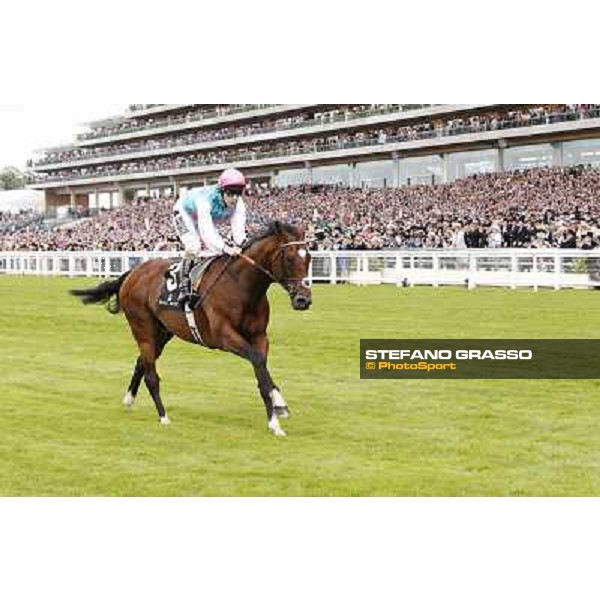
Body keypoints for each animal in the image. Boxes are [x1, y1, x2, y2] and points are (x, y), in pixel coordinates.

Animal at [72, 220, 312, 436]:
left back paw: (129, 399)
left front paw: (279, 405)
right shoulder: (225, 336)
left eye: (309, 257)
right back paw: (163, 416)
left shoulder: (260, 336)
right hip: (143, 328)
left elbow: (262, 364)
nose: (303, 300)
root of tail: (133, 272)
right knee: (151, 374)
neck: (243, 288)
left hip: (163, 332)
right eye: (289, 257)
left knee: (142, 362)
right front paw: (274, 423)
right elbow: (258, 361)